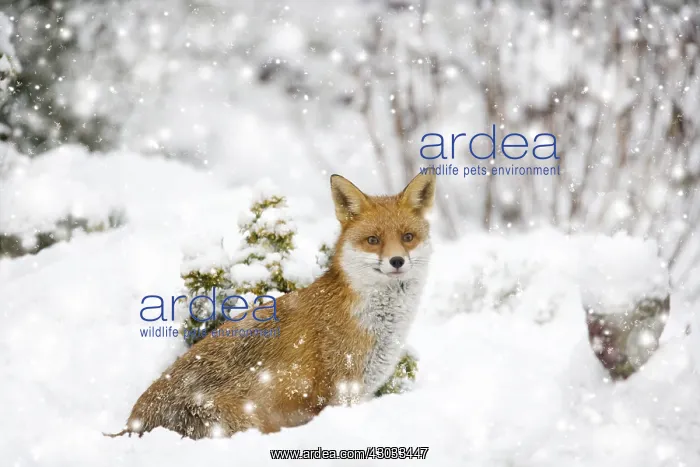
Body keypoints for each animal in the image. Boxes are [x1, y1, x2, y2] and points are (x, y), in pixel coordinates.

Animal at [106, 172, 436, 439]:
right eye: (373, 240)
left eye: (408, 237)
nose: (397, 261)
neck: (378, 325)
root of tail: (132, 424)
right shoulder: (341, 391)